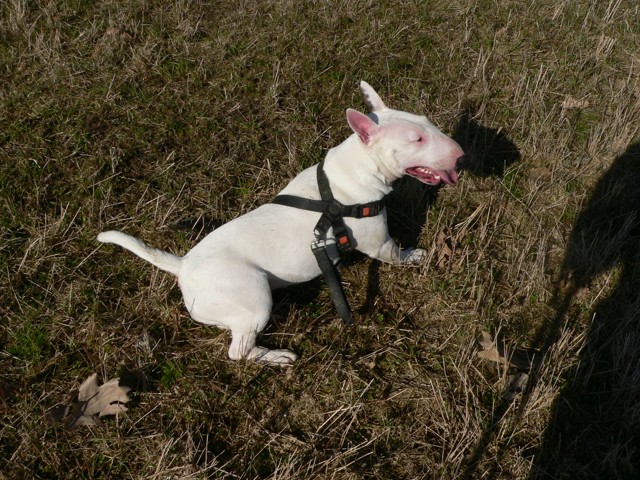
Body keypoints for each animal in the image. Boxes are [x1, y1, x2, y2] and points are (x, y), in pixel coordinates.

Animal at [97, 81, 463, 365]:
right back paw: (276, 356)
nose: (460, 154)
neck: (350, 172)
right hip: (254, 298)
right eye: (416, 139)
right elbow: (397, 254)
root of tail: (183, 265)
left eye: (427, 123)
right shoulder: (379, 244)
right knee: (238, 351)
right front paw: (416, 255)